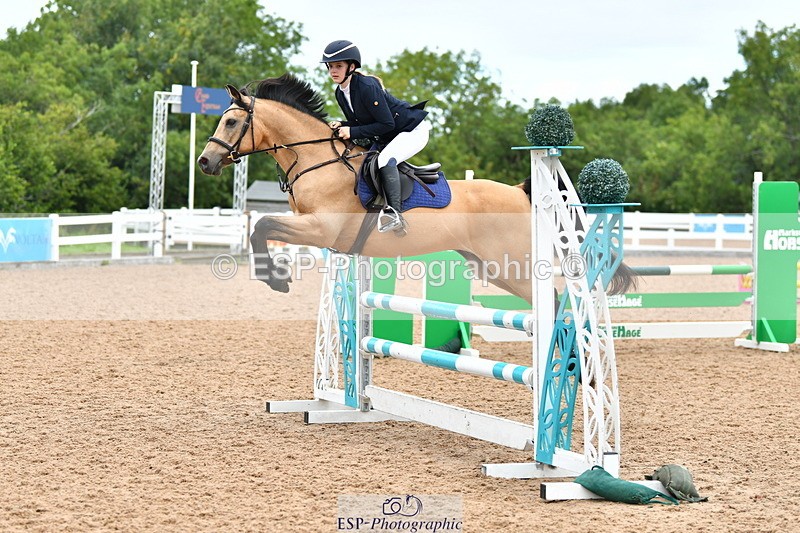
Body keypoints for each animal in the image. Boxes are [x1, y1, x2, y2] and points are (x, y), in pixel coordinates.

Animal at [197, 73, 635, 302]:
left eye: (231, 122)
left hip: (513, 265)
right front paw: (275, 275)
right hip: (491, 267)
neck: (316, 160)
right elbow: (262, 228)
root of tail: (517, 191)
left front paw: (276, 278)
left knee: (557, 302)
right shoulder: (314, 230)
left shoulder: (322, 229)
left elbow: (261, 226)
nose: (205, 162)